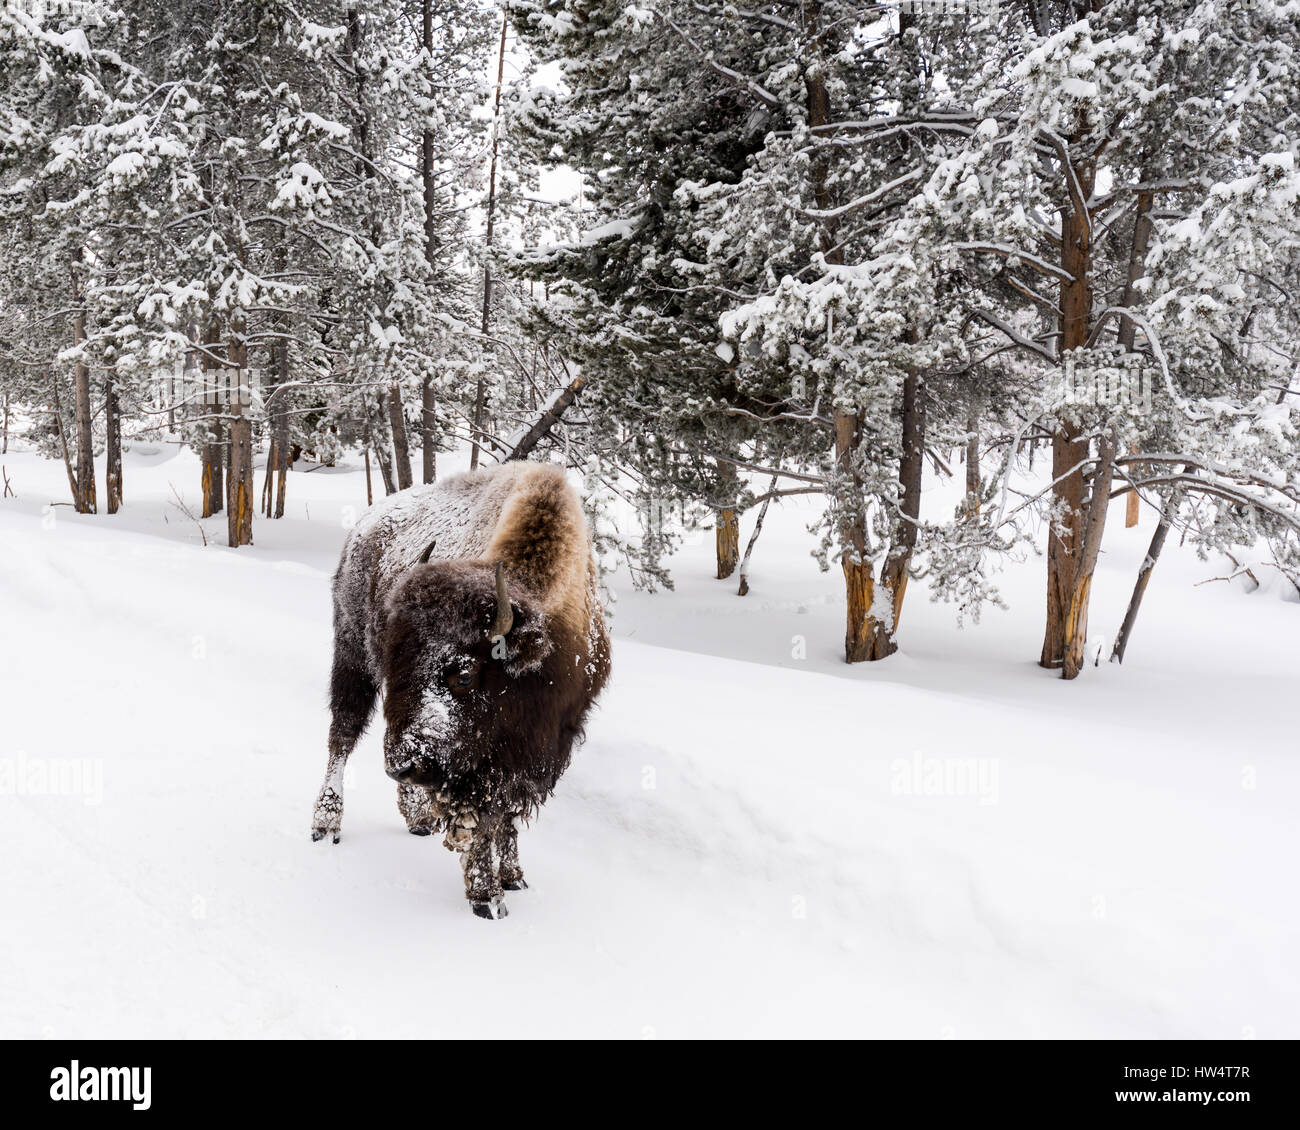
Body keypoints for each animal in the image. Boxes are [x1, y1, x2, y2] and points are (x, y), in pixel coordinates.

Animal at [309, 457, 608, 915]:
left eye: (464, 675)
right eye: (397, 661)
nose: (402, 765)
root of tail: (363, 526)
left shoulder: (539, 748)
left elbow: (507, 814)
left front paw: (514, 877)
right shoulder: (476, 766)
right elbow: (480, 818)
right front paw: (487, 899)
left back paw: (418, 819)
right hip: (352, 656)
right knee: (342, 735)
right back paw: (326, 823)